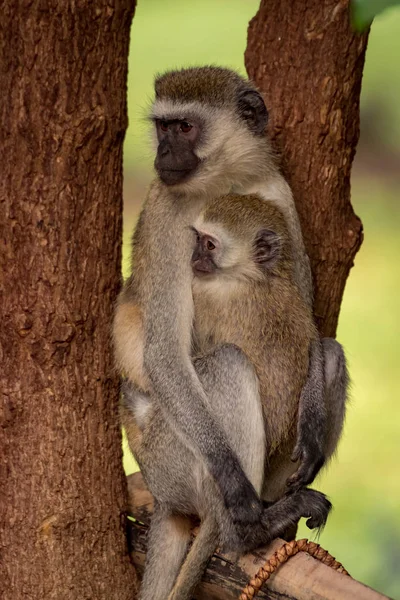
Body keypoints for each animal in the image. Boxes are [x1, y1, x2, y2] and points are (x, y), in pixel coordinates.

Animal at [120, 196, 332, 600]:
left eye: (209, 244)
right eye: (197, 239)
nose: (191, 258)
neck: (248, 277)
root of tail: (164, 495)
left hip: (172, 460)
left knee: (238, 359)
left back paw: (250, 529)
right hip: (172, 465)